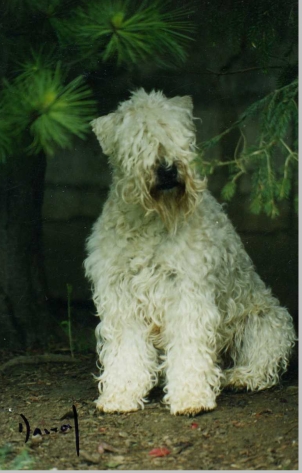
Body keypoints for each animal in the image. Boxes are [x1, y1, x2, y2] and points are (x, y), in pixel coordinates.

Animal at [84, 87, 296, 412]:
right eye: (138, 137)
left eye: (178, 133)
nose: (168, 169)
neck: (151, 221)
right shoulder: (121, 294)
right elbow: (126, 350)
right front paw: (121, 394)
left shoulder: (186, 290)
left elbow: (189, 346)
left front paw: (190, 397)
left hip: (265, 319)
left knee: (262, 362)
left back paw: (239, 376)